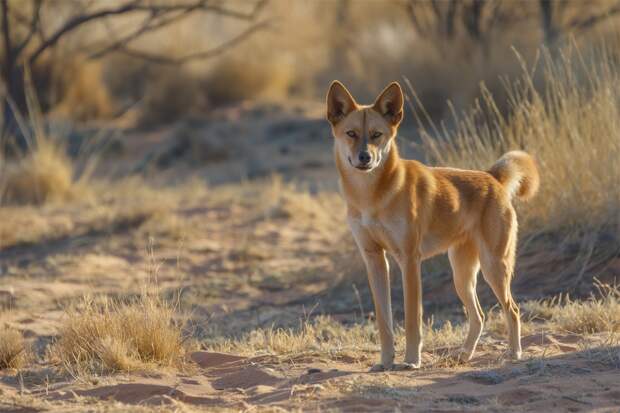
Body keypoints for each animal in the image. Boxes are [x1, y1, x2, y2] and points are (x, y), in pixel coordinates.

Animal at [326, 80, 540, 370]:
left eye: (376, 135)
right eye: (351, 133)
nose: (364, 158)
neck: (372, 196)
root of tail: (492, 177)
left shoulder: (409, 260)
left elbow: (412, 320)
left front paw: (411, 361)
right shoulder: (374, 259)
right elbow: (384, 323)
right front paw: (385, 361)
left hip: (493, 268)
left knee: (513, 310)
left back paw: (514, 353)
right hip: (462, 276)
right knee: (479, 315)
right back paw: (464, 355)